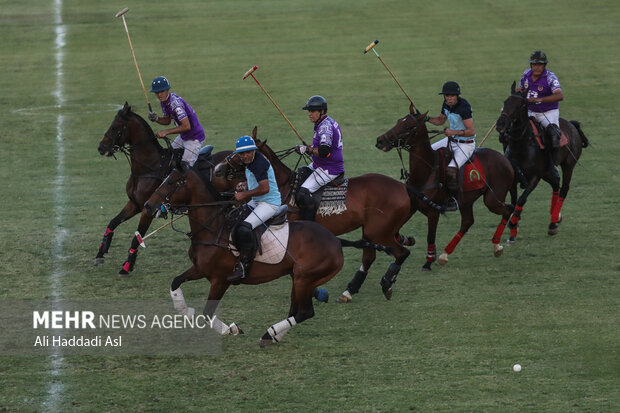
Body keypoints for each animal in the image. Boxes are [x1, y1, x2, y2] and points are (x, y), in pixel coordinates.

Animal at [95, 102, 231, 276]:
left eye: (115, 127)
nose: (101, 147)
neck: (149, 167)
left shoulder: (147, 209)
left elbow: (136, 238)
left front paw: (126, 266)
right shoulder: (135, 203)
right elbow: (112, 223)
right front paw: (100, 253)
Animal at [143, 166, 390, 346]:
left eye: (172, 182)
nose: (148, 206)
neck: (213, 228)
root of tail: (336, 241)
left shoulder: (221, 279)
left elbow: (208, 314)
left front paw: (230, 329)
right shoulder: (200, 269)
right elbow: (176, 282)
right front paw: (185, 310)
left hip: (305, 278)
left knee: (305, 312)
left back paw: (269, 332)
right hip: (298, 279)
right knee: (296, 310)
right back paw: (274, 335)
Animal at [213, 127, 432, 300]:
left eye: (239, 153)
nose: (217, 168)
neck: (283, 186)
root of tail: (404, 187)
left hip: (379, 231)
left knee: (400, 253)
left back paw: (386, 283)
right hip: (373, 230)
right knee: (370, 256)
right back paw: (350, 290)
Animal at [376, 104, 516, 268]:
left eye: (409, 126)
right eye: (399, 121)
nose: (380, 141)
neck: (425, 173)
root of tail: (505, 160)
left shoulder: (433, 212)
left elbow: (430, 237)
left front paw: (428, 262)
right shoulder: (411, 206)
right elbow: (395, 231)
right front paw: (408, 240)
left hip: (492, 199)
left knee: (508, 209)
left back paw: (496, 246)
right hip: (466, 201)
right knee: (468, 222)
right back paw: (445, 254)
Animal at [494, 81, 592, 240]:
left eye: (520, 105)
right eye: (505, 102)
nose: (501, 124)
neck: (522, 145)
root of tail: (572, 125)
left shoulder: (535, 177)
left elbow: (522, 199)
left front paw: (514, 222)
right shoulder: (514, 178)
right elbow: (514, 201)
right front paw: (514, 222)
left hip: (568, 165)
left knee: (563, 189)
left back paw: (552, 224)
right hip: (547, 171)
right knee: (556, 186)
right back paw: (556, 217)